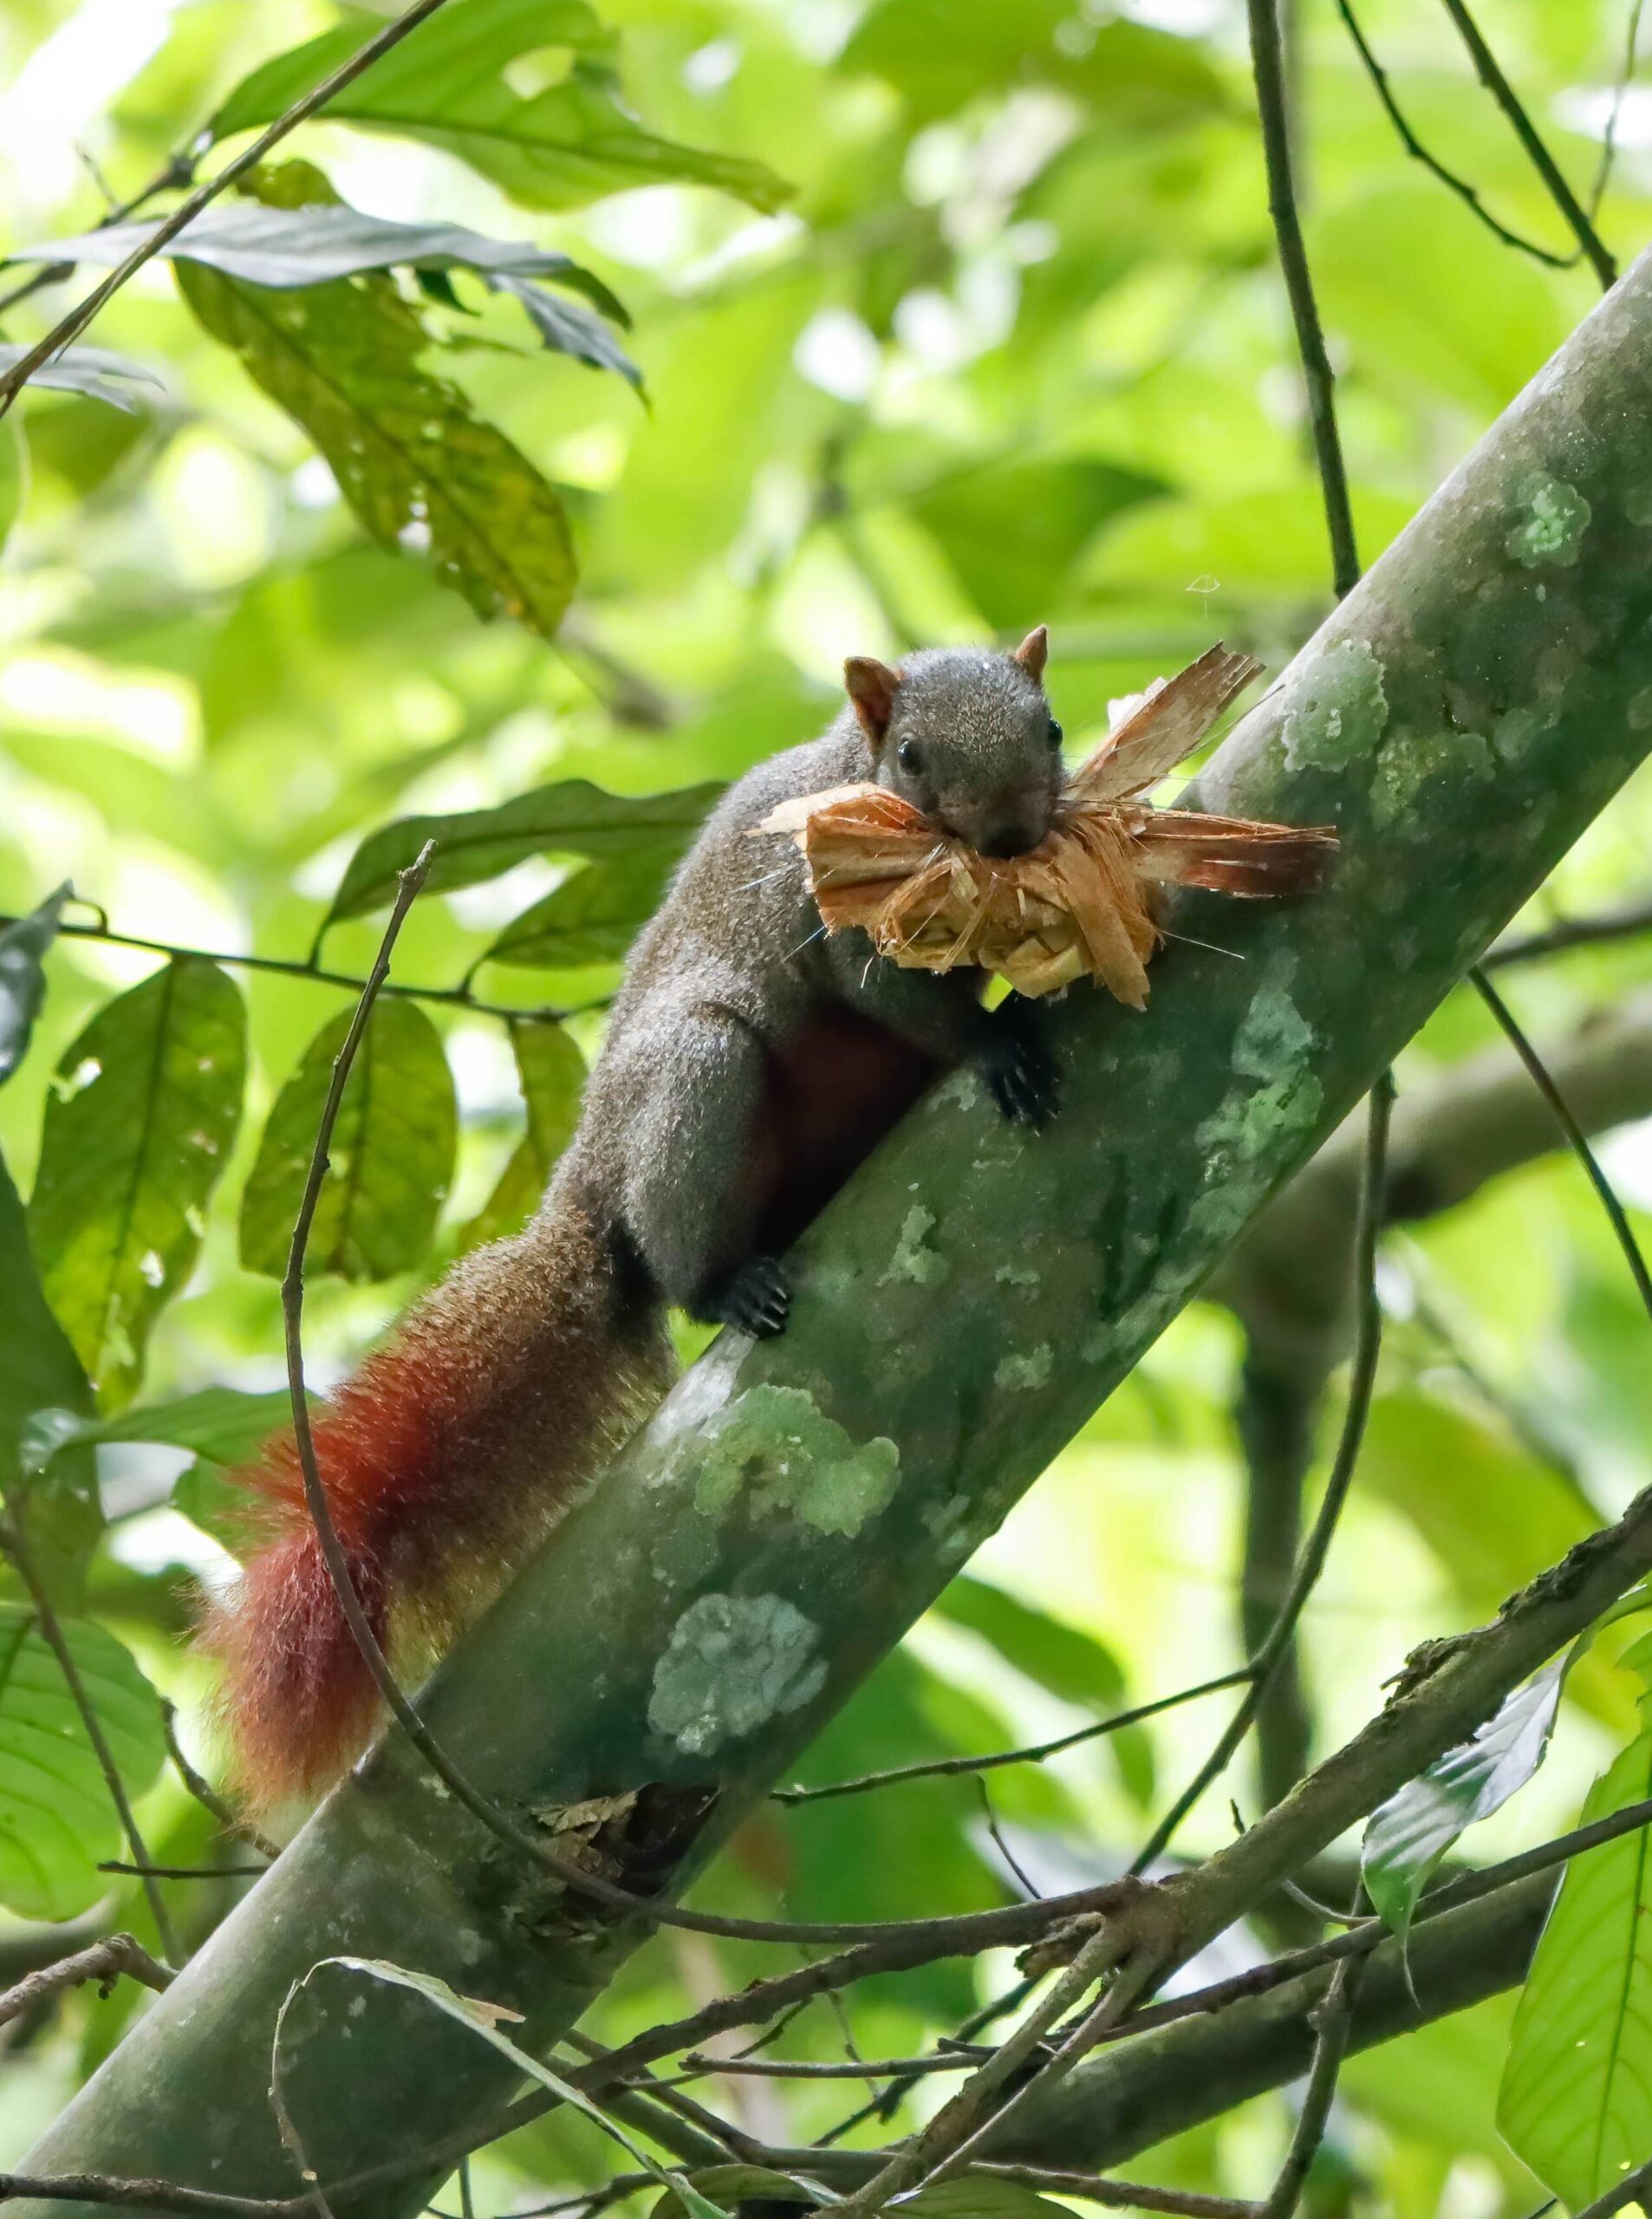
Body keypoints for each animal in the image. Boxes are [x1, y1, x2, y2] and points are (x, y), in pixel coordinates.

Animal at [209, 630, 1055, 1801]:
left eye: (1051, 727)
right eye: (915, 759)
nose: (1014, 834)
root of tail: (591, 1179)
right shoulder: (840, 918)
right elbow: (891, 991)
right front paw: (994, 1043)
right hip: (699, 1076)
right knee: (684, 1241)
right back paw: (730, 1281)